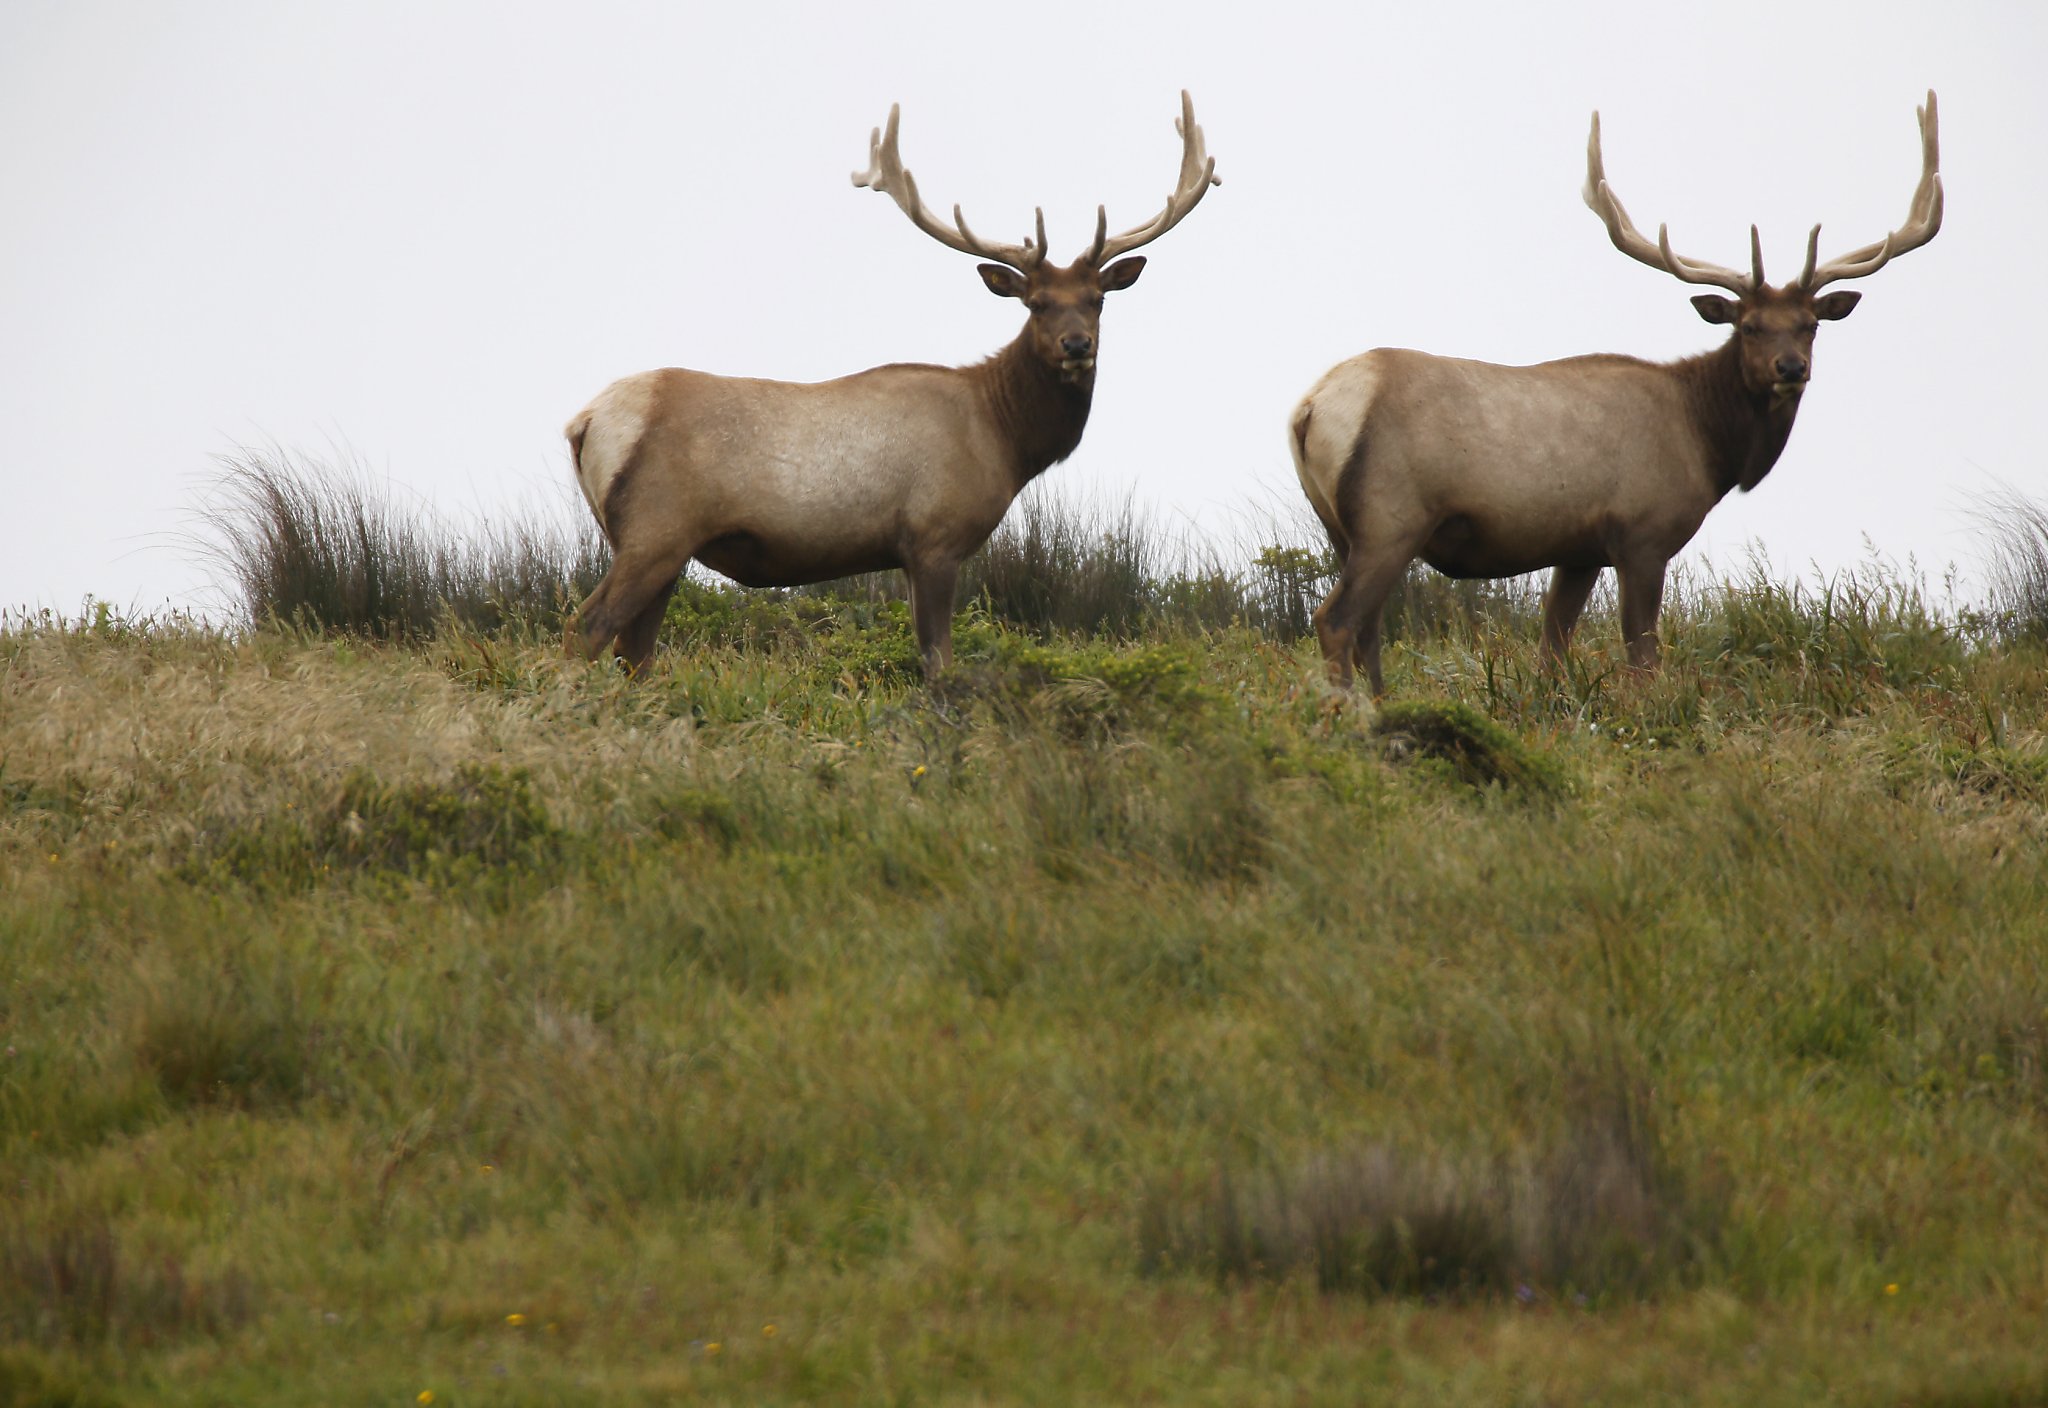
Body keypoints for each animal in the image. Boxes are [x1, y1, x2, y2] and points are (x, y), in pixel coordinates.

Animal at [565, 94, 1212, 675]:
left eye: (1098, 299)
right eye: (1036, 303)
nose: (1077, 346)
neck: (1002, 438)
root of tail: (585, 421)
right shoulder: (934, 535)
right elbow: (938, 662)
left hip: (661, 545)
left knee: (634, 649)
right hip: (655, 527)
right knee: (587, 627)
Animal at [1286, 88, 1941, 691]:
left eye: (1810, 325)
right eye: (1748, 325)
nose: (1790, 368)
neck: (1709, 446)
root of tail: (1310, 408)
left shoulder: (1578, 550)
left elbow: (1552, 652)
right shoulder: (1643, 532)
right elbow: (1643, 659)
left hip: (1340, 527)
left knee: (1368, 628)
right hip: (1390, 517)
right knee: (1336, 619)